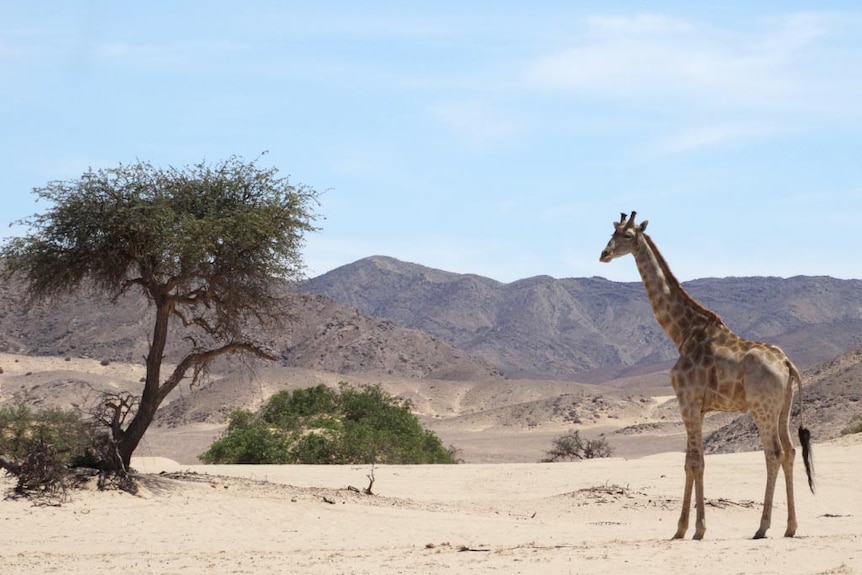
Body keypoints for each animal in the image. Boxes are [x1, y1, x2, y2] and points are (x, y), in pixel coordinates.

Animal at [600, 212, 816, 540]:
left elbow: (696, 463)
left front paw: (694, 529)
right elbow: (689, 462)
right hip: (783, 407)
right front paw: (685, 528)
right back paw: (790, 527)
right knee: (790, 452)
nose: (604, 254)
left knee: (773, 453)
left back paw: (762, 526)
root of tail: (787, 364)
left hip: (762, 408)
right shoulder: (698, 408)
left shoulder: (687, 402)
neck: (681, 333)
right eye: (611, 233)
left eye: (627, 236)